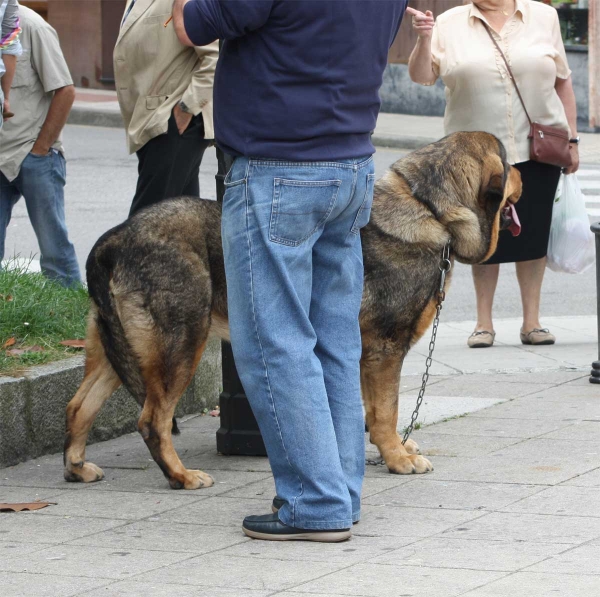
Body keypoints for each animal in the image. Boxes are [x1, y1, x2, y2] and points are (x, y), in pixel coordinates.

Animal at [62, 133, 520, 486]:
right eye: (508, 160)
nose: (524, 172)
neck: (428, 208)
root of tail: (114, 240)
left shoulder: (361, 352)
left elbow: (370, 411)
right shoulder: (385, 350)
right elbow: (386, 412)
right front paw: (396, 458)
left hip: (118, 348)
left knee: (79, 406)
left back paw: (77, 468)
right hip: (180, 346)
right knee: (151, 420)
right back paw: (181, 477)